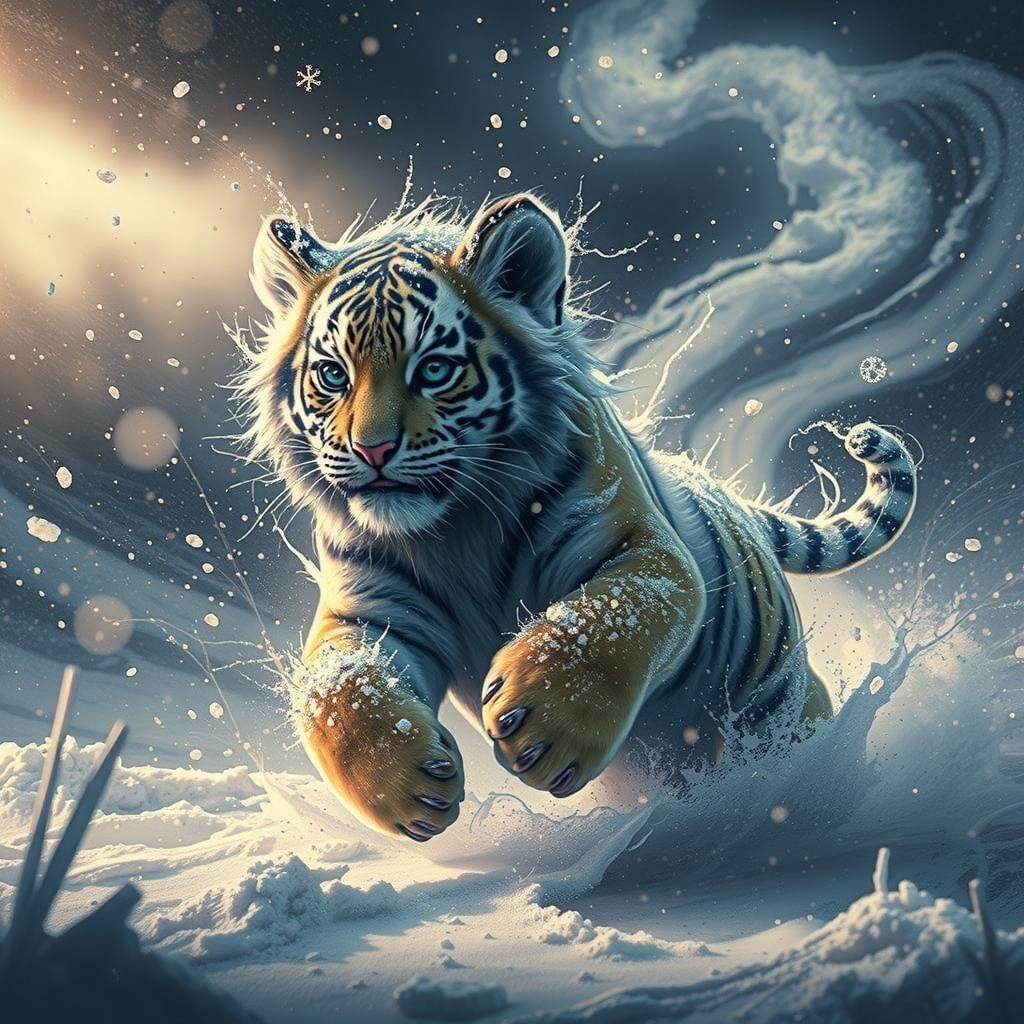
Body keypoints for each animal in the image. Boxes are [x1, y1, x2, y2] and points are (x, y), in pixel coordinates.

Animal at [239, 192, 917, 842]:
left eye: (433, 368)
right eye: (332, 375)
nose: (371, 450)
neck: (456, 529)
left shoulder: (645, 549)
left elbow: (607, 617)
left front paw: (541, 723)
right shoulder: (369, 613)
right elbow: (337, 691)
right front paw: (407, 788)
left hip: (777, 696)